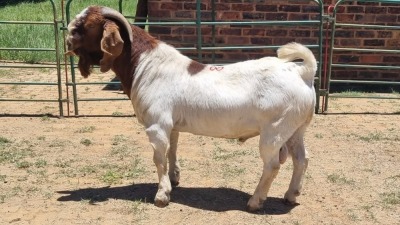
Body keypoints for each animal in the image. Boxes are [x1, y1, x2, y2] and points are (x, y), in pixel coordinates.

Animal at [66, 6, 316, 212]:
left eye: (85, 25)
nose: (67, 40)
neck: (145, 66)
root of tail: (302, 72)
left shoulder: (156, 124)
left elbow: (159, 158)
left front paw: (162, 196)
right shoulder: (172, 125)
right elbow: (172, 151)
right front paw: (174, 179)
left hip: (275, 129)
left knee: (272, 165)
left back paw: (255, 202)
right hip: (296, 128)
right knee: (301, 159)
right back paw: (291, 195)